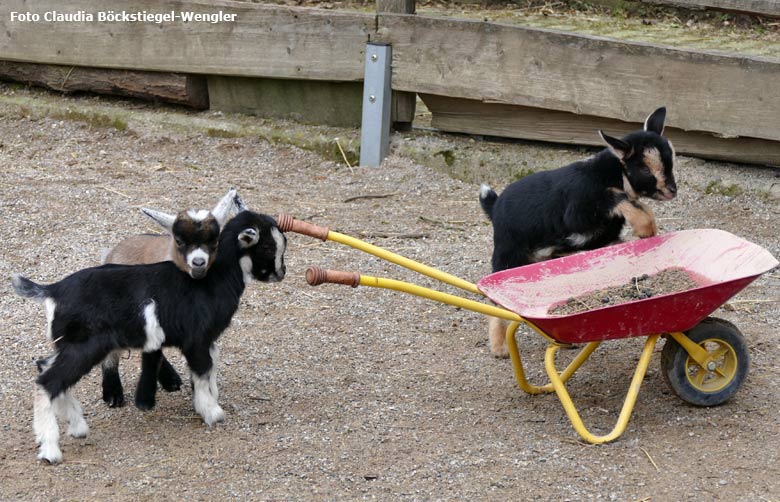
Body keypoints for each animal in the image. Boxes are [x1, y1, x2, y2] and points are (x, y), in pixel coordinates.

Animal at [12, 210, 286, 464]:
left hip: (67, 345)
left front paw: (208, 401)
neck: (214, 279)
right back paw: (50, 450)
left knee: (45, 367)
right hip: (85, 346)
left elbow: (210, 368)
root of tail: (52, 290)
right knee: (47, 382)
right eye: (268, 246)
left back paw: (77, 426)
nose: (281, 273)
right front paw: (212, 412)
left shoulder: (207, 340)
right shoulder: (196, 339)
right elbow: (202, 370)